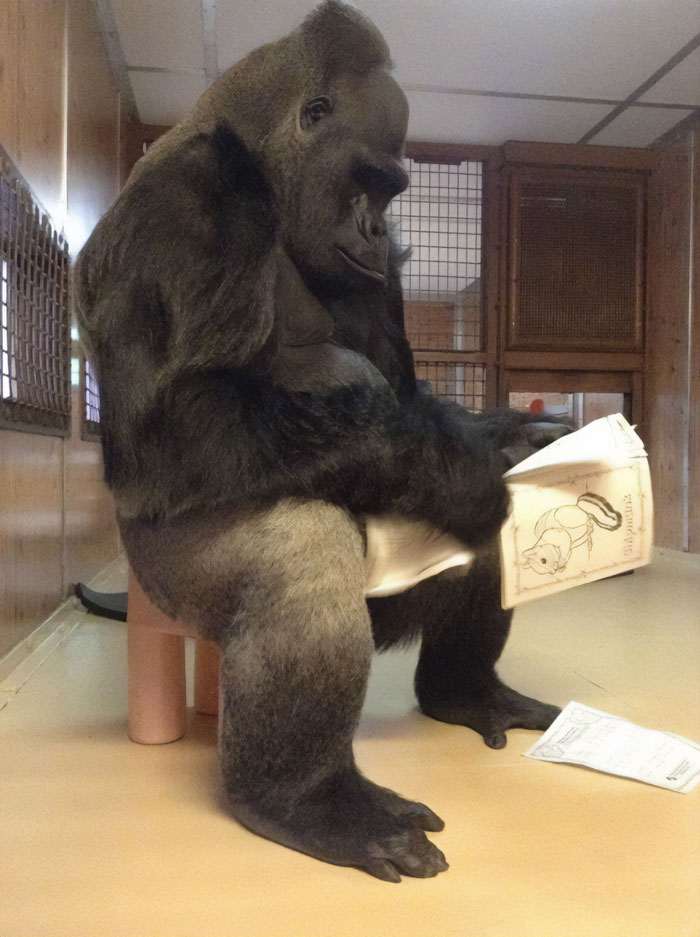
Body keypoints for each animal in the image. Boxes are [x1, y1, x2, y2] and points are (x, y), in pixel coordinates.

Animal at [74, 1, 563, 882]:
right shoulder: (186, 200)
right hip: (166, 587)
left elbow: (408, 403)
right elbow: (184, 426)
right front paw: (472, 467)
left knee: (482, 542)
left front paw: (500, 437)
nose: (374, 226)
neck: (257, 156)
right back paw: (304, 798)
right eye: (367, 179)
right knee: (299, 550)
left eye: (391, 189)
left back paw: (463, 688)